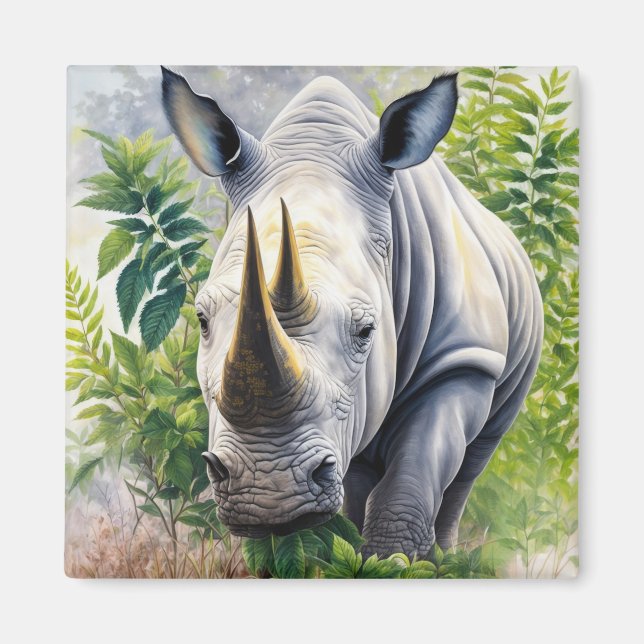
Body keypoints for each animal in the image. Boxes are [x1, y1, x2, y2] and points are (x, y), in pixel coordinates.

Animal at [161, 66, 543, 558]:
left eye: (366, 331)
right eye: (202, 321)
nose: (270, 495)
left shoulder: (463, 357)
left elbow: (415, 472)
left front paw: (393, 558)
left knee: (473, 461)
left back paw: (445, 555)